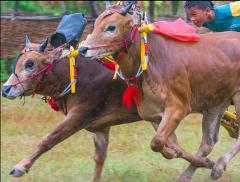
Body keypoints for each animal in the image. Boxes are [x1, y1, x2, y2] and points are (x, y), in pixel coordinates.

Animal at [79, 3, 240, 181]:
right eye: (95, 24)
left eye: (111, 27)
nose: (83, 49)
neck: (150, 63)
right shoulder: (154, 115)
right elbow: (166, 145)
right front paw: (196, 160)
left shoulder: (178, 108)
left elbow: (157, 142)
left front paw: (207, 162)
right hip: (215, 104)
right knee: (208, 142)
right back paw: (191, 173)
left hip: (237, 97)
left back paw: (219, 166)